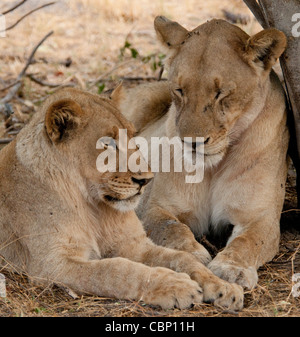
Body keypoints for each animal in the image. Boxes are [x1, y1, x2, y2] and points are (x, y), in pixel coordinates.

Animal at [0, 85, 244, 308]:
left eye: (133, 136)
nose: (146, 180)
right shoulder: (53, 264)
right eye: (108, 144)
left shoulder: (132, 243)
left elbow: (181, 257)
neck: (93, 206)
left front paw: (223, 286)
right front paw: (176, 285)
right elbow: (115, 270)